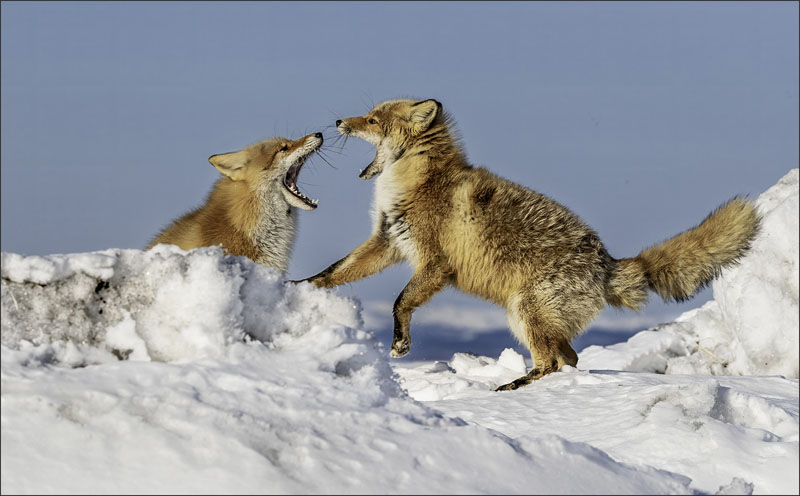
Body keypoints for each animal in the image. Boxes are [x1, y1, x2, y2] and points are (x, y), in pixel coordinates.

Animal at [298, 98, 761, 391]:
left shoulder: (435, 264)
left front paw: (400, 345)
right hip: (533, 318)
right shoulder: (387, 242)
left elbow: (400, 302)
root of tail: (608, 262)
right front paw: (298, 289)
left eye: (373, 120)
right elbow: (332, 273)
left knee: (554, 362)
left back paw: (513, 386)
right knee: (570, 358)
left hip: (526, 313)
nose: (337, 123)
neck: (418, 182)